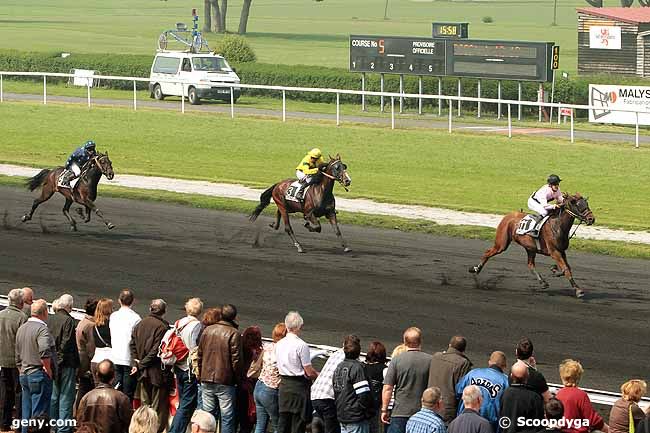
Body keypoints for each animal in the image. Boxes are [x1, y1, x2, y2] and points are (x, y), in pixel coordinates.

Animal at [468, 193, 596, 296]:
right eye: (578, 205)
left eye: (587, 204)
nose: (591, 219)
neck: (558, 225)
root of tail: (507, 216)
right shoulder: (554, 251)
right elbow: (566, 269)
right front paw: (579, 290)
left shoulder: (561, 251)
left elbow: (567, 268)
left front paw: (554, 269)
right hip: (501, 244)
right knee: (488, 252)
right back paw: (476, 269)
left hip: (530, 248)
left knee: (530, 264)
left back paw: (543, 282)